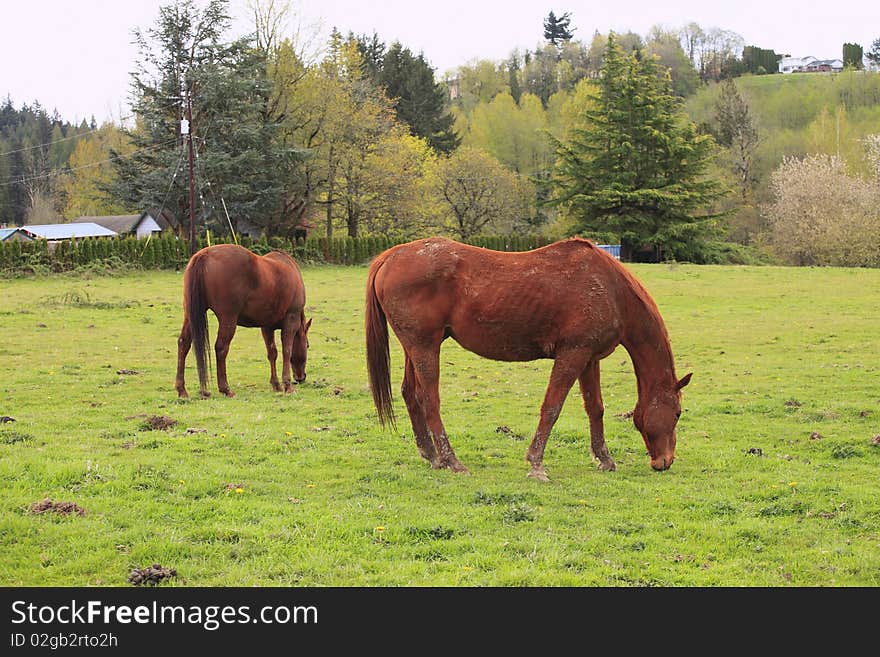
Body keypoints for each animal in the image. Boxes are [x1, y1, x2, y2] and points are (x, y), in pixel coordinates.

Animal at [174, 243, 312, 398]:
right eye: (307, 345)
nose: (301, 377)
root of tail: (204, 255)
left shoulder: (267, 327)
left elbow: (272, 353)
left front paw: (276, 384)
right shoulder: (291, 321)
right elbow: (287, 351)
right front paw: (287, 385)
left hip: (190, 315)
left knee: (183, 343)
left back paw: (182, 389)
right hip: (228, 319)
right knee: (221, 348)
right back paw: (225, 388)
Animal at [366, 236, 696, 476]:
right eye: (678, 413)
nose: (664, 461)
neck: (610, 290)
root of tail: (391, 256)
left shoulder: (589, 359)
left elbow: (595, 409)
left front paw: (604, 459)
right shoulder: (572, 354)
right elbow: (551, 407)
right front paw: (536, 463)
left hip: (416, 348)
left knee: (411, 394)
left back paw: (431, 455)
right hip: (425, 347)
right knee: (429, 400)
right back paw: (452, 461)